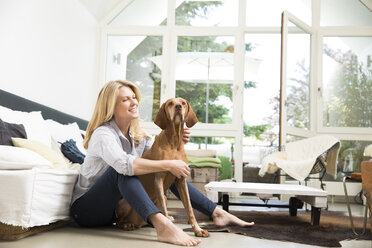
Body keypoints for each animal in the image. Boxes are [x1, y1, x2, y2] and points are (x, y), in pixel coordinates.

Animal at [116, 98, 209, 237]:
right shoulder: (159, 179)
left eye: (183, 103)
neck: (174, 143)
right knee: (119, 221)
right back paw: (127, 225)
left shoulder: (181, 180)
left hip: (164, 199)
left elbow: (189, 209)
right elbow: (164, 211)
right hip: (124, 203)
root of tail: (138, 222)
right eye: (170, 103)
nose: (178, 107)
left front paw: (198, 230)